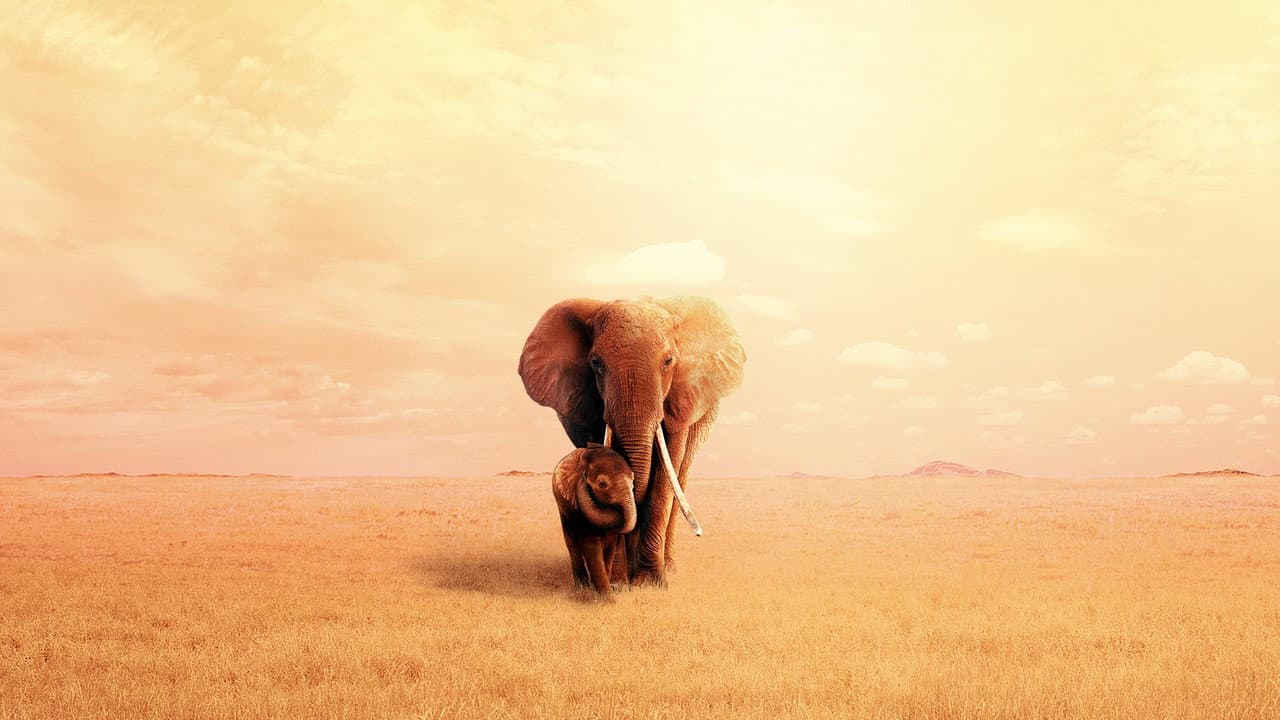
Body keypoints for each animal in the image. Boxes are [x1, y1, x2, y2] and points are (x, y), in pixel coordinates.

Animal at [551, 443, 637, 597]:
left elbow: (609, 545)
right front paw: (606, 598)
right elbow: (590, 543)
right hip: (563, 509)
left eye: (633, 482)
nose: (583, 478)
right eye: (602, 484)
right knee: (572, 544)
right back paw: (582, 587)